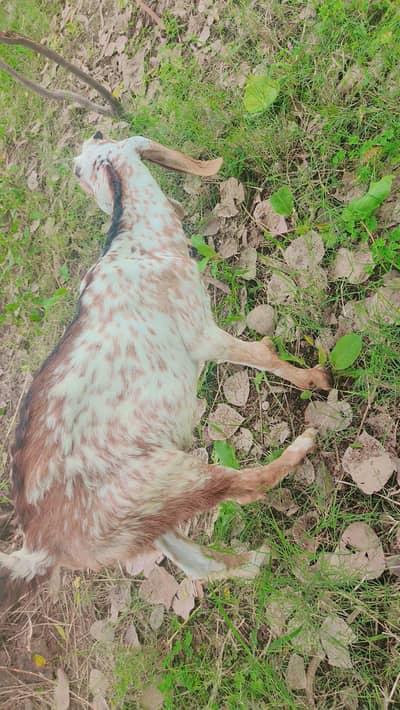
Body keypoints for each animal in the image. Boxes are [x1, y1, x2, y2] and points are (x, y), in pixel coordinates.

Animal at [0, 133, 330, 611]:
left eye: (81, 168)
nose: (78, 161)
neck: (138, 246)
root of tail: (41, 548)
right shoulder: (199, 332)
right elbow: (260, 356)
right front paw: (315, 379)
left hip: (140, 519)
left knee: (200, 564)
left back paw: (256, 560)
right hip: (162, 478)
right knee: (246, 486)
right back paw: (303, 444)